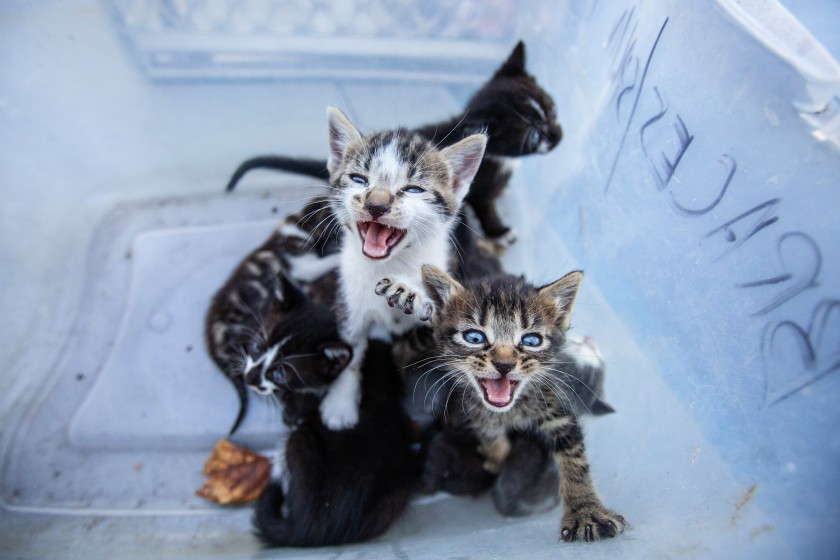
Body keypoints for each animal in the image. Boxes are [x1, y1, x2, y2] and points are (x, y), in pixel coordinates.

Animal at [316, 106, 488, 428]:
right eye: (358, 179)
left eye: (413, 189)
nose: (376, 205)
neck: (390, 263)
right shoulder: (350, 302)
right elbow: (351, 351)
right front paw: (340, 404)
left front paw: (411, 291)